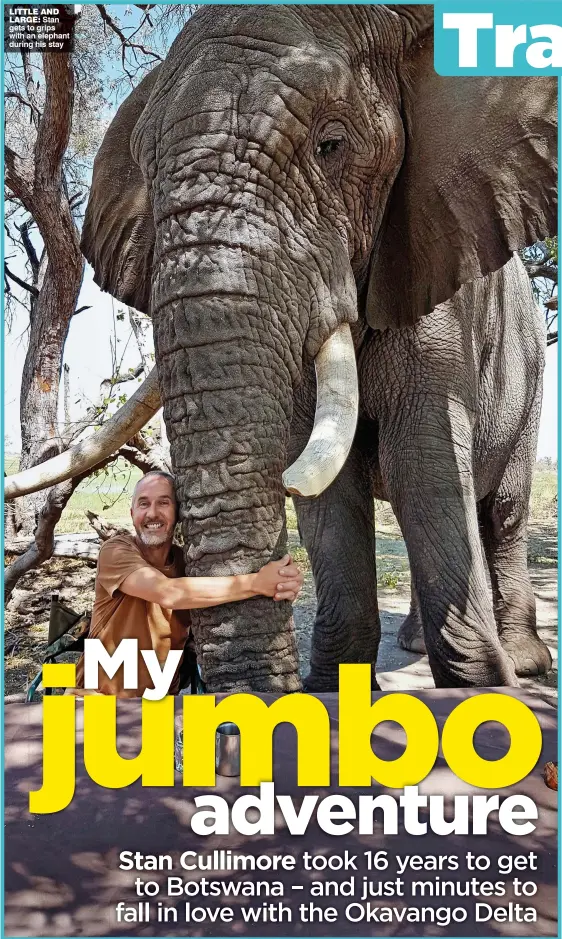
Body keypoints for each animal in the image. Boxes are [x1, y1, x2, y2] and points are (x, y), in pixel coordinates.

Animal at [6, 5, 552, 692]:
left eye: (332, 146)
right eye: (148, 176)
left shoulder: (437, 280)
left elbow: (420, 467)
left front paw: (481, 690)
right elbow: (331, 485)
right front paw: (333, 688)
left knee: (502, 510)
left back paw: (524, 663)